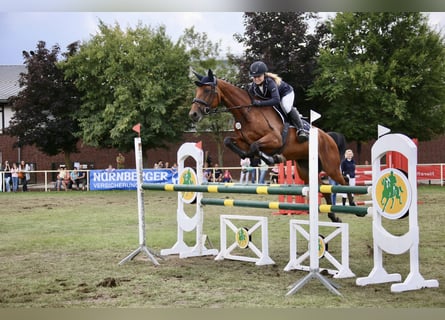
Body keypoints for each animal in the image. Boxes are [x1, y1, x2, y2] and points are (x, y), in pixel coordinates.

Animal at [189, 69, 348, 221]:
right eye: (197, 90)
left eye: (207, 90)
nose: (193, 114)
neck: (247, 113)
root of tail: (328, 136)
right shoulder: (243, 141)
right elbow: (230, 141)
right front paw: (249, 156)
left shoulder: (275, 139)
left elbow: (255, 146)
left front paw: (273, 158)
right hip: (305, 169)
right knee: (323, 186)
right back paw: (333, 216)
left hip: (331, 166)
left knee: (344, 181)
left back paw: (351, 205)